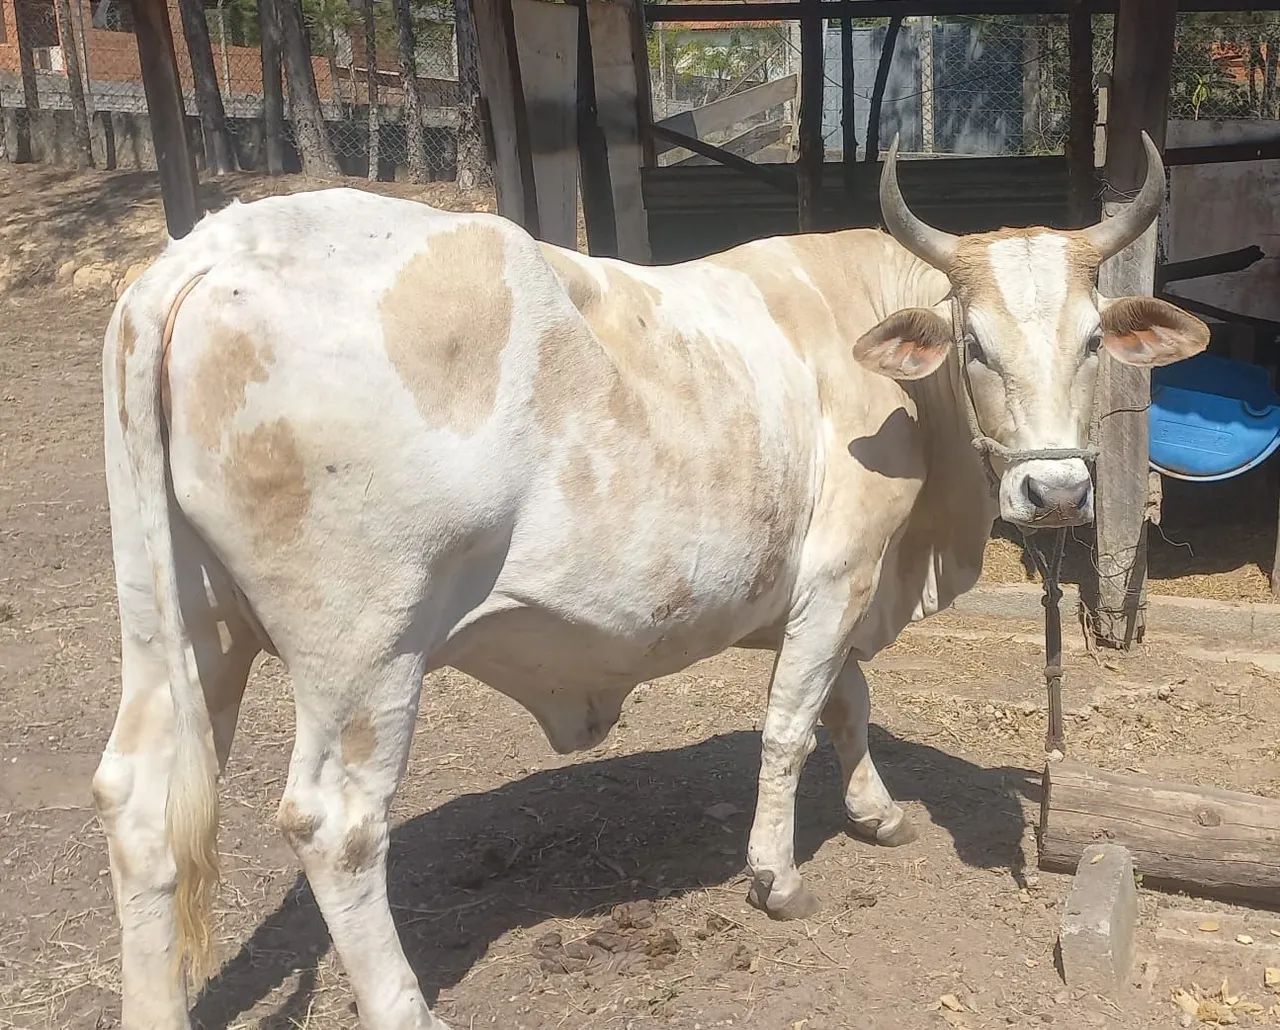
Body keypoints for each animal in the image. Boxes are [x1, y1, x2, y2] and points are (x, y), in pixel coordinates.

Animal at [95, 132, 1207, 1028]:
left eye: (1093, 338)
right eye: (973, 344)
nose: (1057, 489)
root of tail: (207, 253)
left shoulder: (844, 584)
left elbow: (846, 699)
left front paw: (876, 811)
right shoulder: (842, 567)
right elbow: (792, 719)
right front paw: (777, 874)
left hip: (183, 627)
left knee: (139, 798)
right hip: (366, 650)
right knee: (337, 824)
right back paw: (404, 1005)